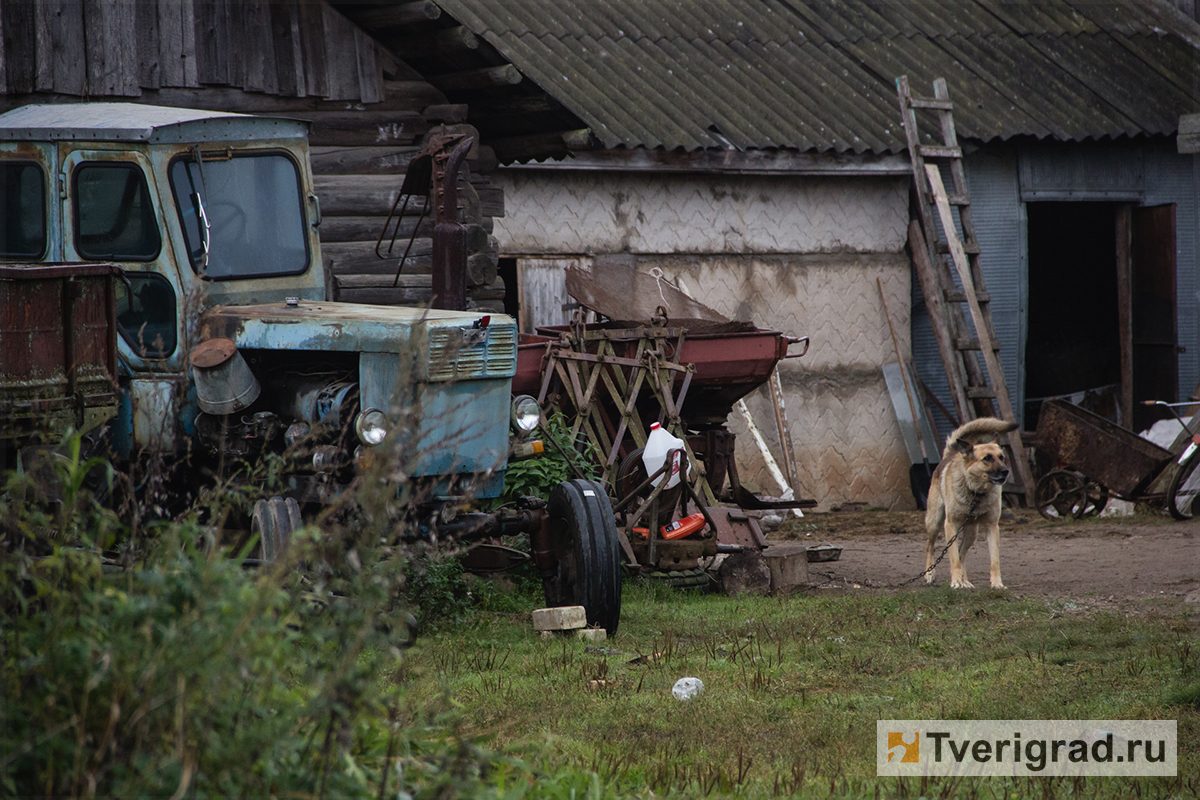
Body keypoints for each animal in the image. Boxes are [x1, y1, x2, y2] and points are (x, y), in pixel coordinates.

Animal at [921, 419, 1017, 587]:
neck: (976, 493)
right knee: (930, 547)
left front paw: (997, 584)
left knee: (962, 553)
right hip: (935, 523)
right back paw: (930, 574)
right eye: (987, 458)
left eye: (1001, 457)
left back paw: (964, 581)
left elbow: (994, 561)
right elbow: (953, 558)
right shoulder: (950, 524)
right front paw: (955, 582)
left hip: (971, 533)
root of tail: (950, 455)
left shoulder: (992, 526)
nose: (1006, 471)